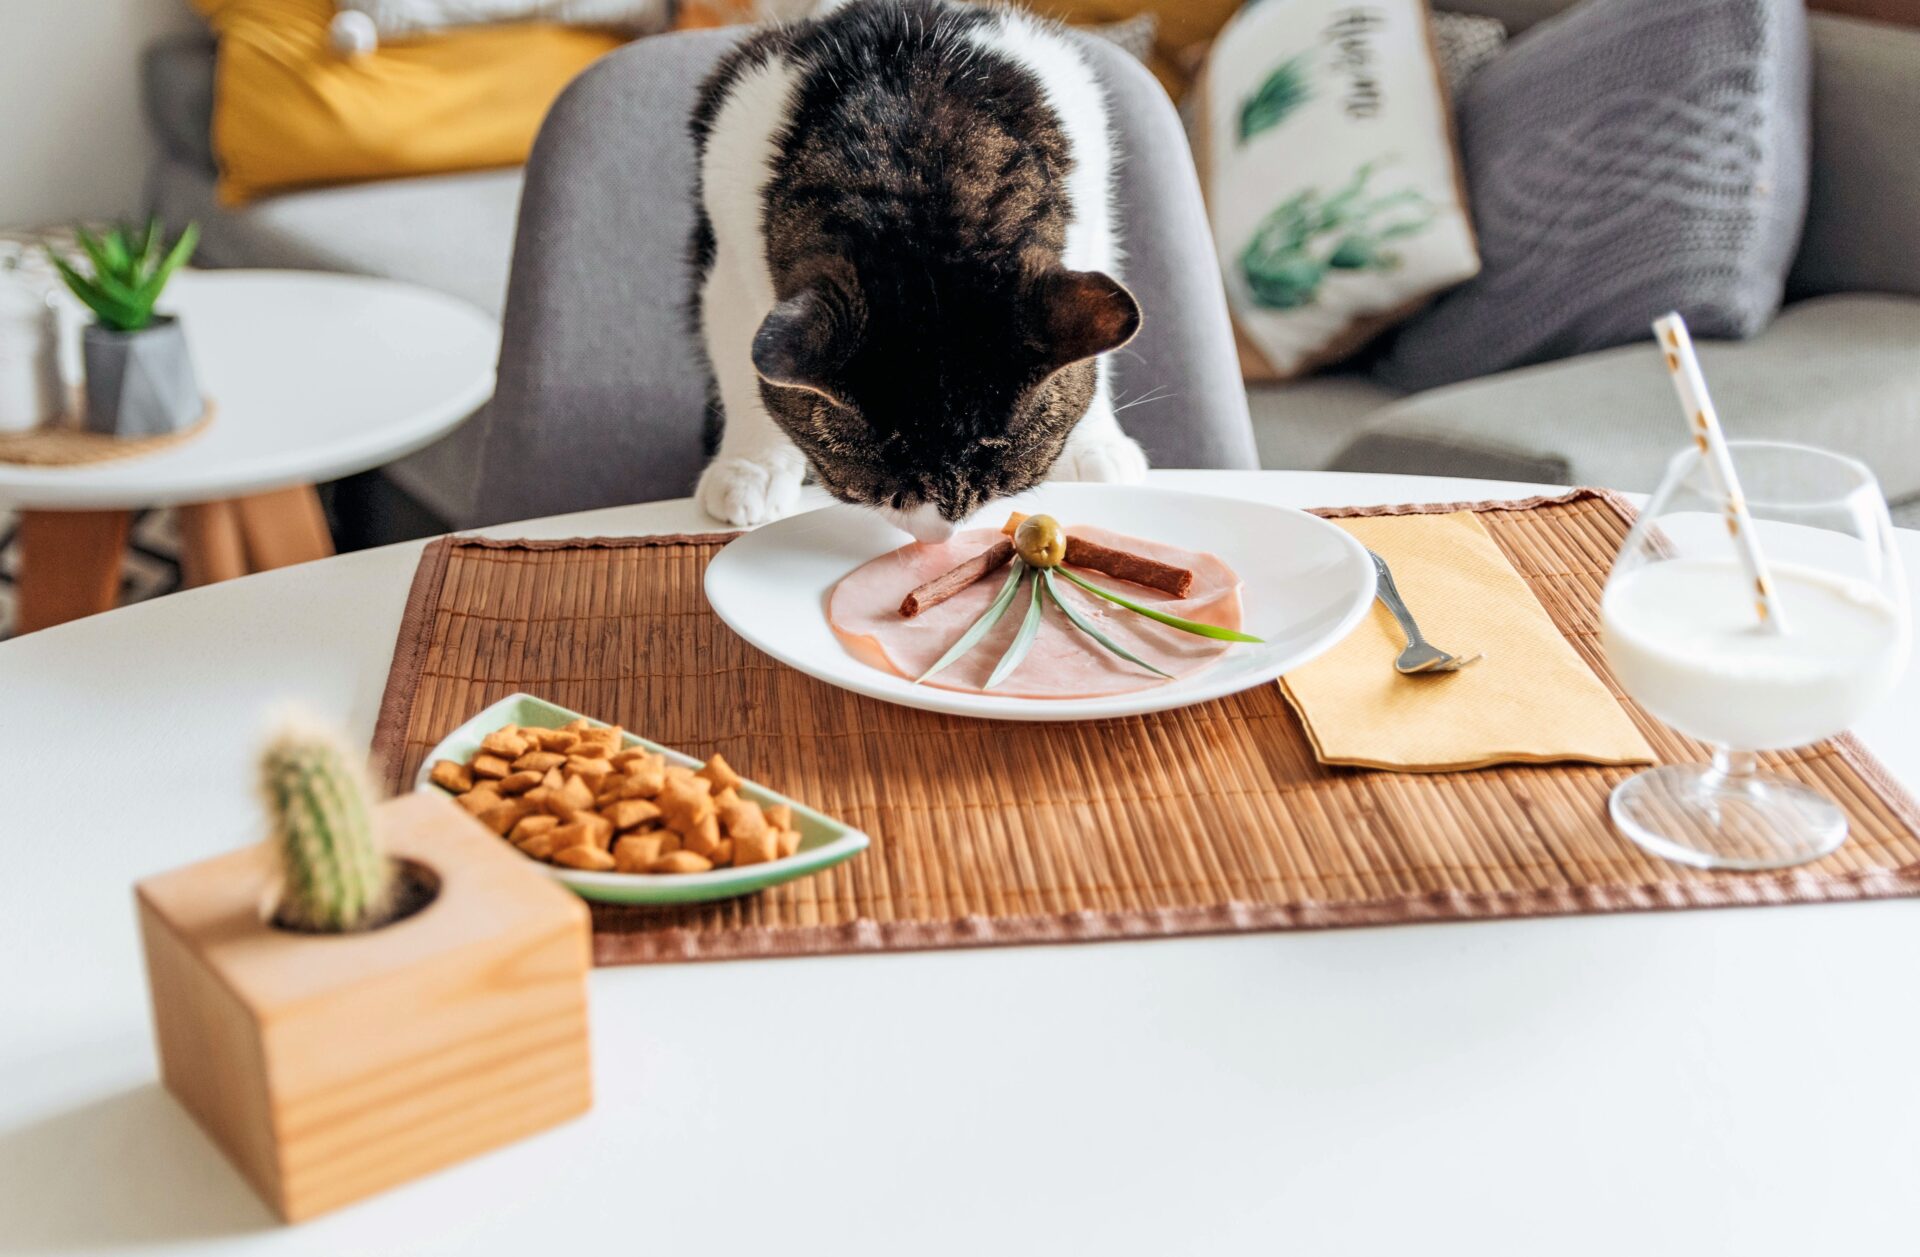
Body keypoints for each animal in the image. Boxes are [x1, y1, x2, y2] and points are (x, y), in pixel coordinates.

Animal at [691, 0, 1144, 537]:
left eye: (1003, 485)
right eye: (876, 491)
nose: (939, 537)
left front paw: (1096, 444)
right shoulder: (729, 248)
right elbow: (740, 357)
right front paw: (750, 467)